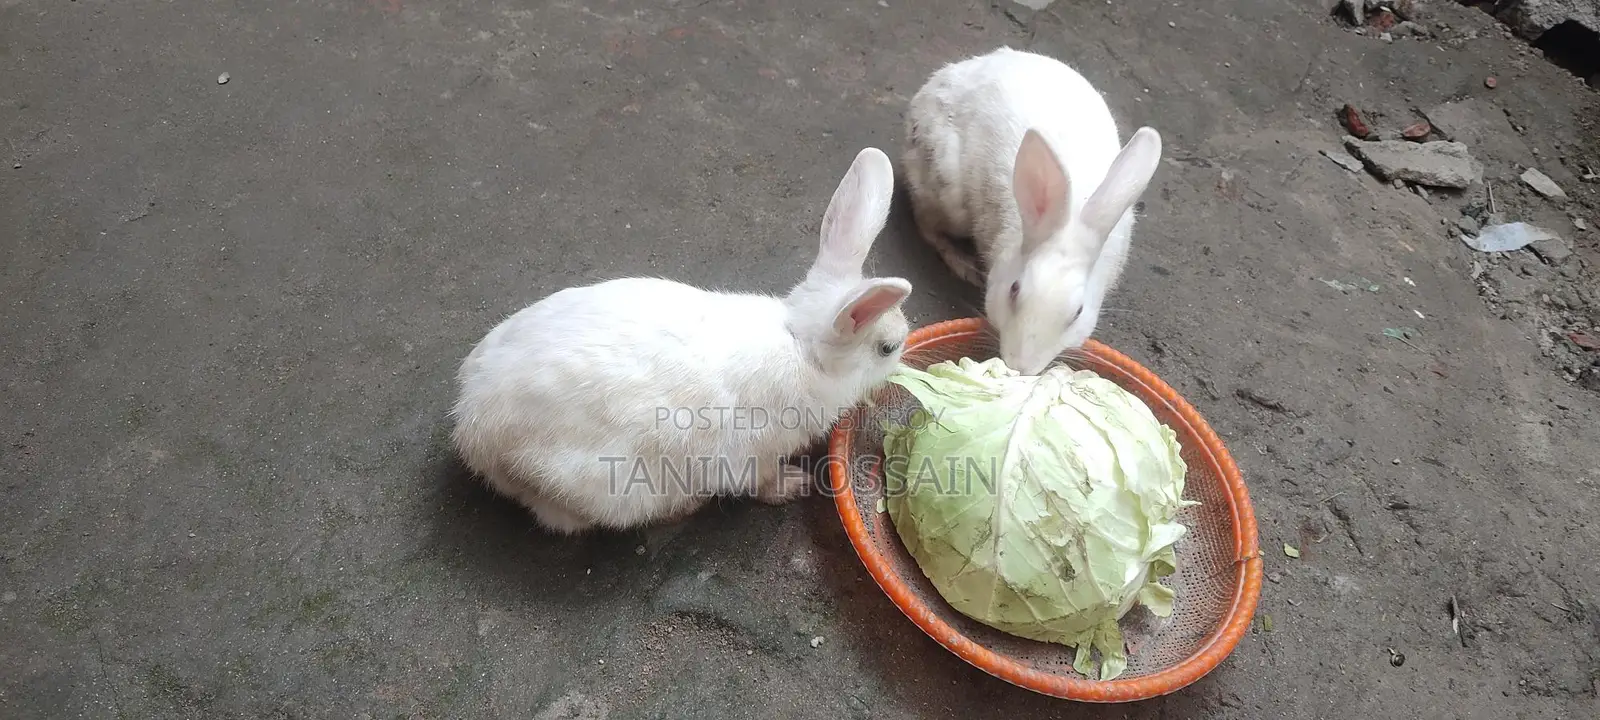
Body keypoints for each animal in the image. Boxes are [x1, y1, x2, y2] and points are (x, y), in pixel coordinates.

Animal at [449, 147, 913, 535]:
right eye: (886, 349)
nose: (904, 357)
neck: (802, 347)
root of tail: (472, 430)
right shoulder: (754, 454)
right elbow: (760, 482)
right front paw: (792, 486)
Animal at [901, 46, 1163, 376]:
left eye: (1078, 313)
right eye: (1014, 290)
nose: (1021, 367)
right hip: (946, 191)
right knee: (926, 223)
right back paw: (964, 265)